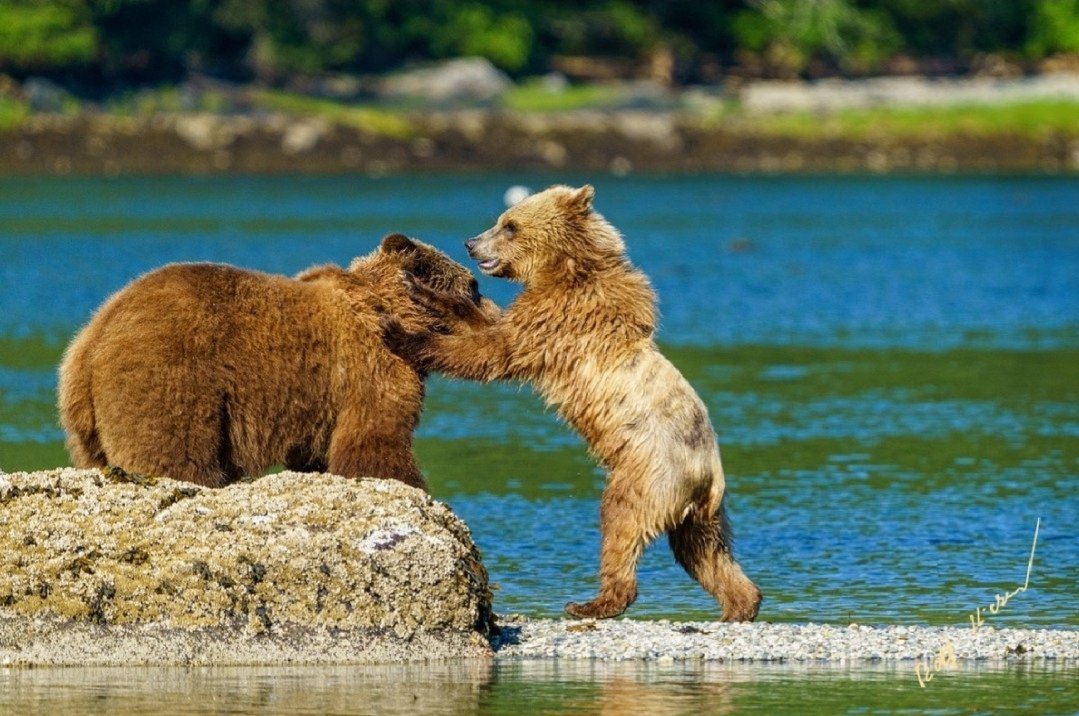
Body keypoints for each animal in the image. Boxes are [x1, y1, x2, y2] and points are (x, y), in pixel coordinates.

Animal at [58, 233, 499, 490]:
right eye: (474, 287)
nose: (497, 314)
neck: (391, 307)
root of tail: (89, 345)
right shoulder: (372, 366)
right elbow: (373, 442)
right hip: (169, 378)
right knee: (172, 454)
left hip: (87, 428)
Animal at [384, 185, 761, 621]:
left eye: (509, 224)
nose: (470, 242)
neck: (566, 268)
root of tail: (709, 473)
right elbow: (488, 324)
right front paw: (420, 287)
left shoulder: (559, 321)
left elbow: (490, 351)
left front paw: (400, 333)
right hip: (701, 513)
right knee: (704, 553)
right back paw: (742, 604)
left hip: (647, 474)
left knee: (621, 523)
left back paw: (591, 603)